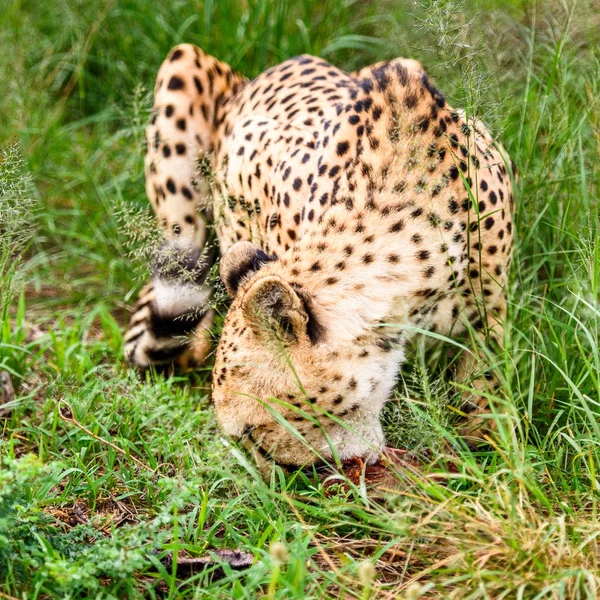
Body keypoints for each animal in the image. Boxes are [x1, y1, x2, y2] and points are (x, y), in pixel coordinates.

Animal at [123, 43, 516, 474]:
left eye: (254, 430)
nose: (268, 478)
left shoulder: (490, 312)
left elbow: (485, 389)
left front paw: (487, 454)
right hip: (181, 74)